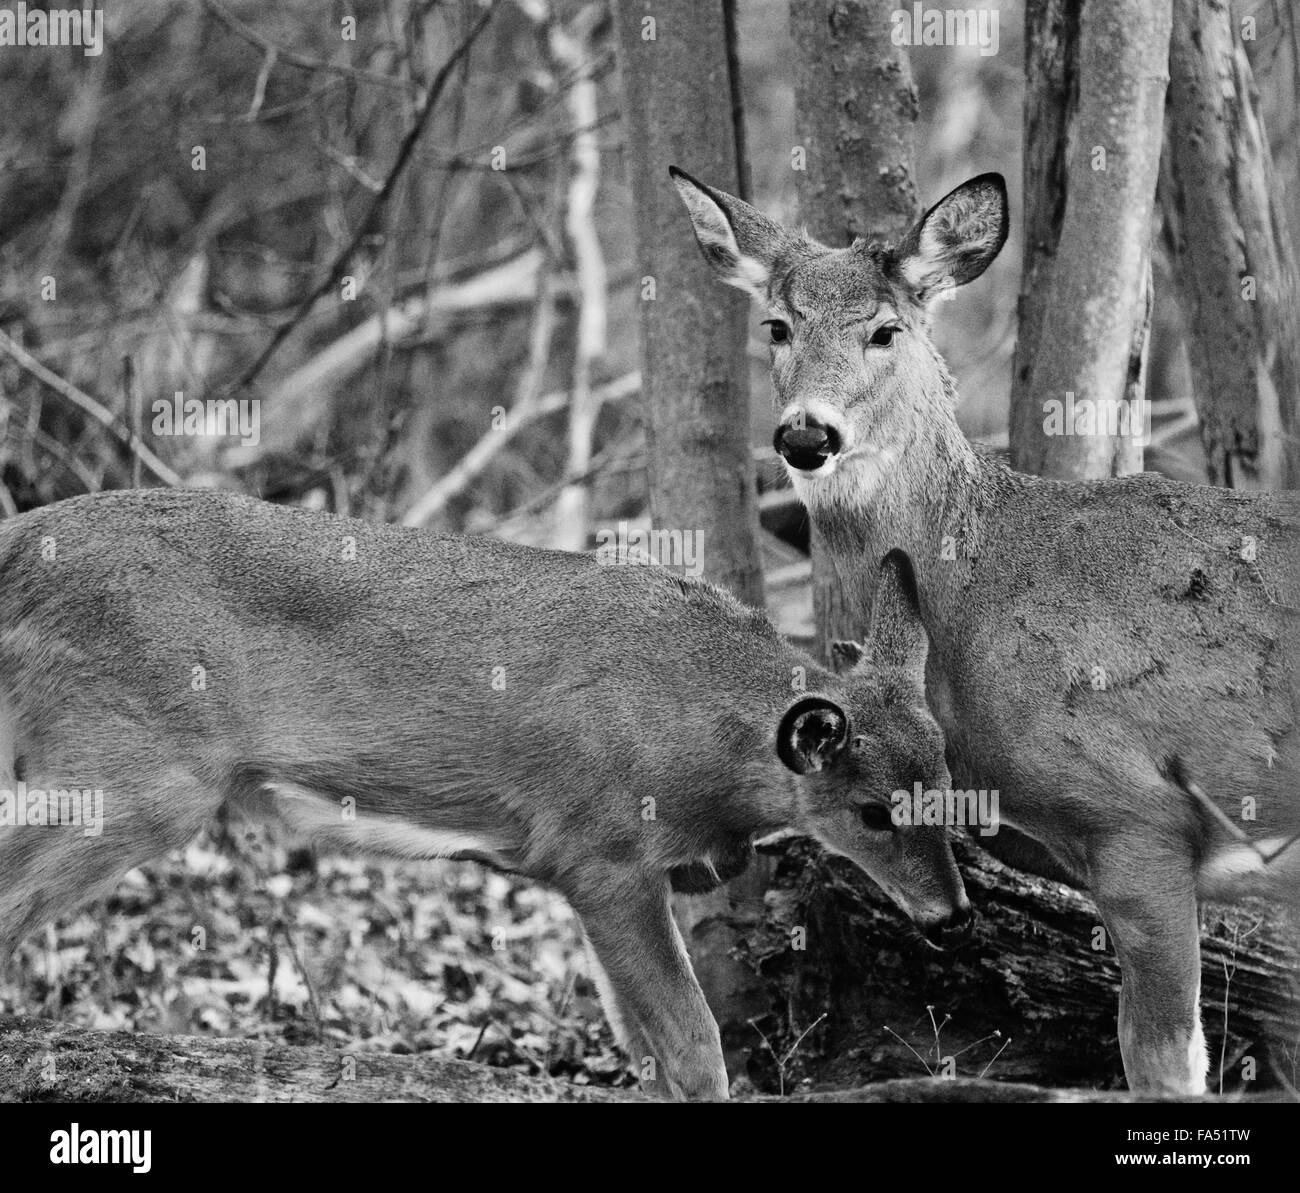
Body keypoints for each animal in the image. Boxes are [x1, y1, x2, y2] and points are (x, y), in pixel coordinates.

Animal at [0, 488, 967, 1102]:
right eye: (874, 812)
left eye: (947, 785)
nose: (954, 911)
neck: (703, 733)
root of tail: (16, 547)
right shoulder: (600, 853)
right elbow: (694, 1044)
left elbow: (641, 1046)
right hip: (134, 766)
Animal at [670, 163, 1300, 1096]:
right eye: (777, 325)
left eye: (885, 329)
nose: (805, 433)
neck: (977, 587)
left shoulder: (1139, 816)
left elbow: (1162, 1058)